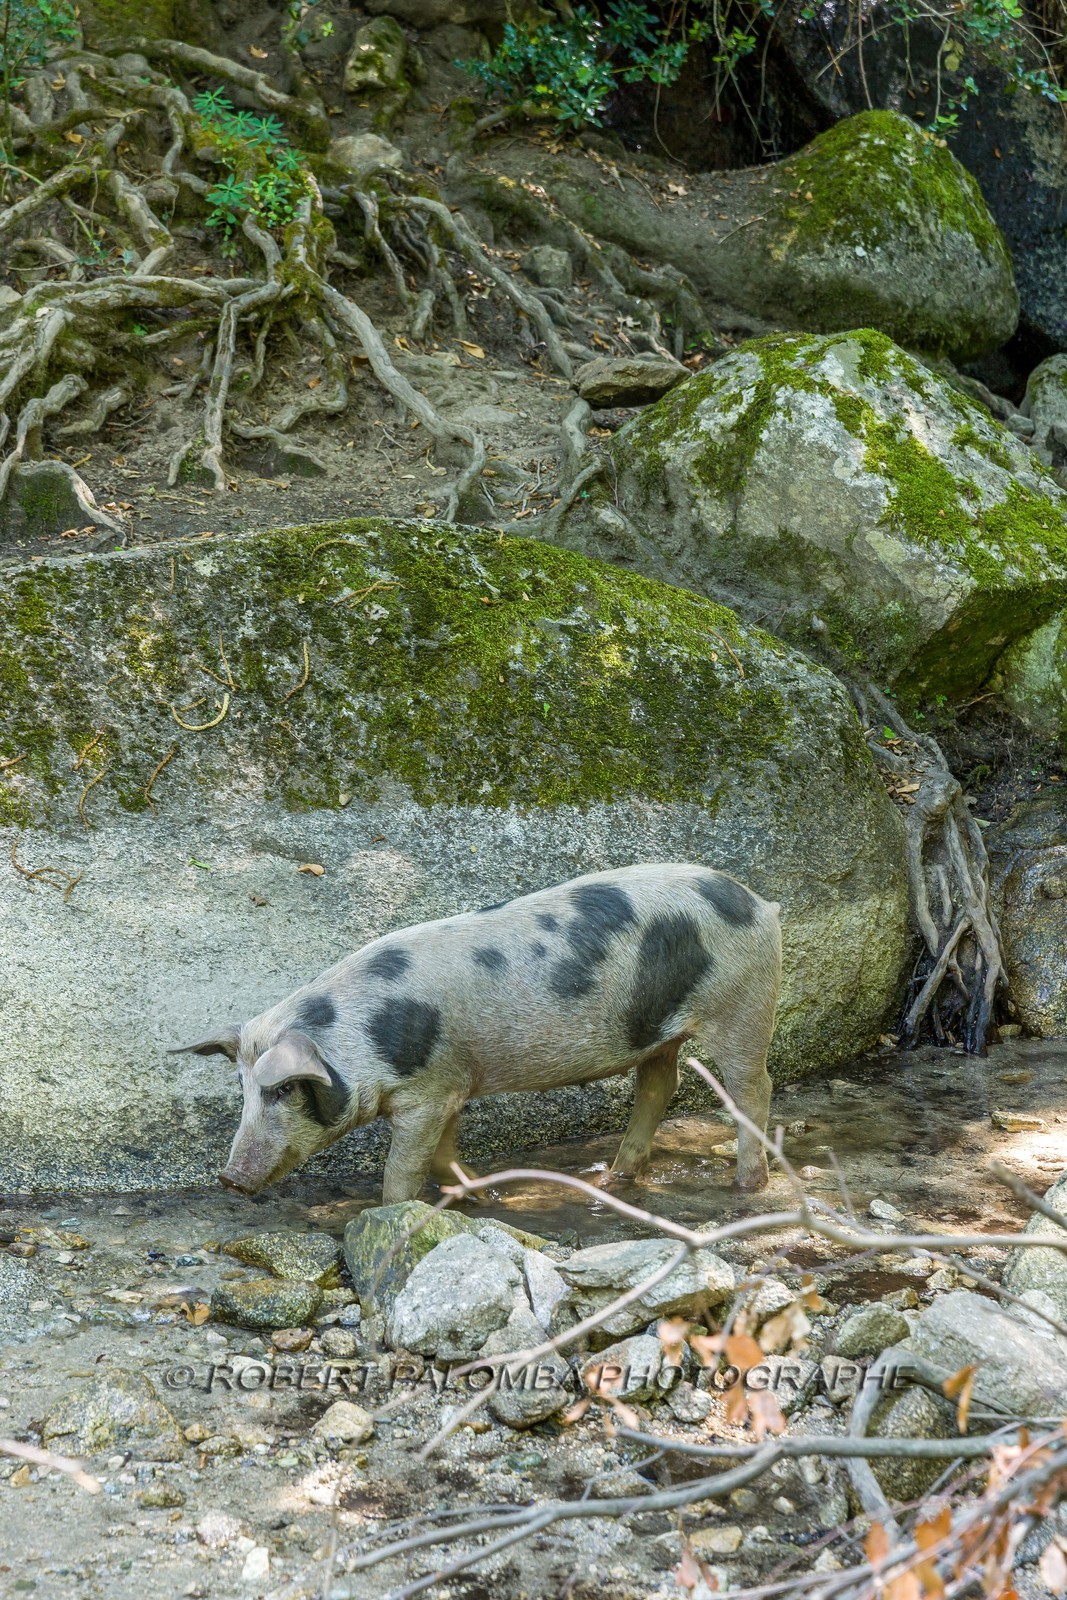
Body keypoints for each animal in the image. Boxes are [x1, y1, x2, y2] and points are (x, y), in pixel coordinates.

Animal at [171, 862, 782, 1200]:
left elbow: (402, 1168)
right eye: (245, 1092)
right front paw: (481, 1196)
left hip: (743, 1004)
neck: (366, 1038)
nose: (229, 1178)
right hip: (659, 1029)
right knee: (658, 1086)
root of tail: (760, 903)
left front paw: (391, 1211)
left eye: (284, 1090)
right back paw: (614, 1180)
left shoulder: (425, 1093)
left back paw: (747, 1186)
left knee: (754, 1089)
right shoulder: (452, 1084)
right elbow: (442, 1156)